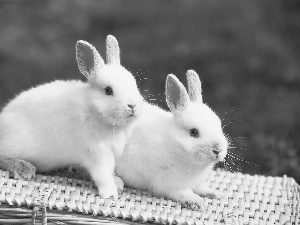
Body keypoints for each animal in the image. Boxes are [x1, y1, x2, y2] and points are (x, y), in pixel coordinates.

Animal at [0, 34, 144, 199]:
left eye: (134, 84)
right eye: (108, 90)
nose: (132, 106)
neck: (94, 110)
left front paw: (117, 182)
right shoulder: (97, 153)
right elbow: (103, 174)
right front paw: (110, 193)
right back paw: (24, 168)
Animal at [115, 70, 227, 207]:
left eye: (219, 125)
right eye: (194, 132)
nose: (218, 150)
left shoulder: (197, 183)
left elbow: (201, 188)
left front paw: (215, 193)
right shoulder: (170, 185)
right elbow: (183, 194)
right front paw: (197, 202)